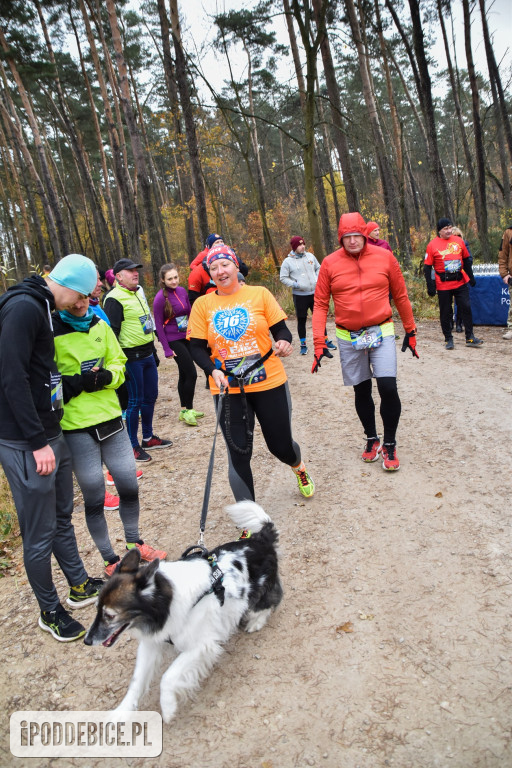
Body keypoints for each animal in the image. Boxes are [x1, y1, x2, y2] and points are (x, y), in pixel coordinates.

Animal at [85, 500, 284, 724]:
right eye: (97, 609)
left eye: (110, 615)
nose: (87, 640)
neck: (167, 602)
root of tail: (261, 539)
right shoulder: (152, 643)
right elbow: (137, 681)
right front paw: (122, 712)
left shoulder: (201, 645)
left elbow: (169, 676)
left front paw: (168, 707)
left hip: (259, 591)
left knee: (273, 598)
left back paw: (255, 622)